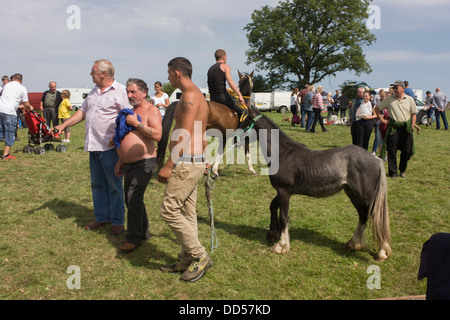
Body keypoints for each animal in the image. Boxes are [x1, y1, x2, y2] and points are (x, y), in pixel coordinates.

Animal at [241, 108, 392, 262]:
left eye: (244, 122)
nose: (237, 139)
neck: (282, 153)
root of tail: (375, 158)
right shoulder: (283, 191)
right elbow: (273, 206)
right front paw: (272, 233)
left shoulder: (284, 191)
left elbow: (284, 217)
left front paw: (281, 246)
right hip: (352, 193)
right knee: (363, 215)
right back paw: (353, 244)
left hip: (365, 196)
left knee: (376, 217)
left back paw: (382, 252)